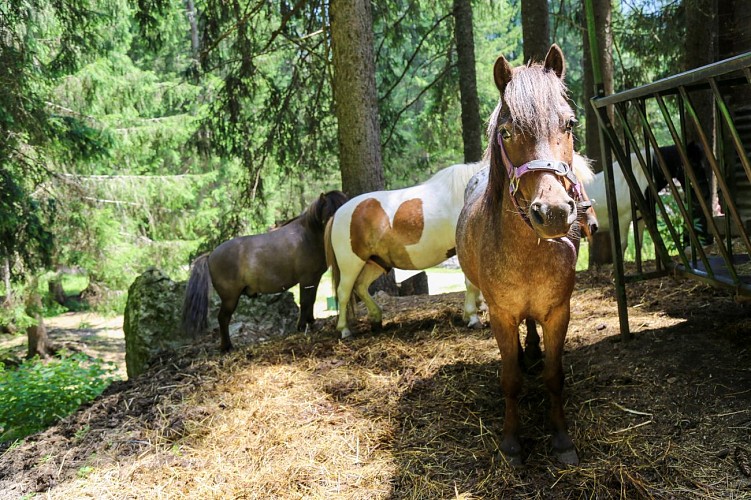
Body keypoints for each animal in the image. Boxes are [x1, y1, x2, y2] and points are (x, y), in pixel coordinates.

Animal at [326, 162, 484, 338]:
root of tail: (336, 215)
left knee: (360, 286)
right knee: (343, 292)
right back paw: (344, 330)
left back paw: (376, 318)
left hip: (374, 263)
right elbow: (471, 284)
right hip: (350, 264)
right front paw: (473, 317)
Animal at [458, 45, 588, 466]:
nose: (554, 211)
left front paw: (561, 439)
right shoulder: (501, 314)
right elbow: (510, 378)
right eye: (507, 131)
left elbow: (553, 375)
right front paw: (512, 443)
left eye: (569, 123)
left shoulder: (558, 312)